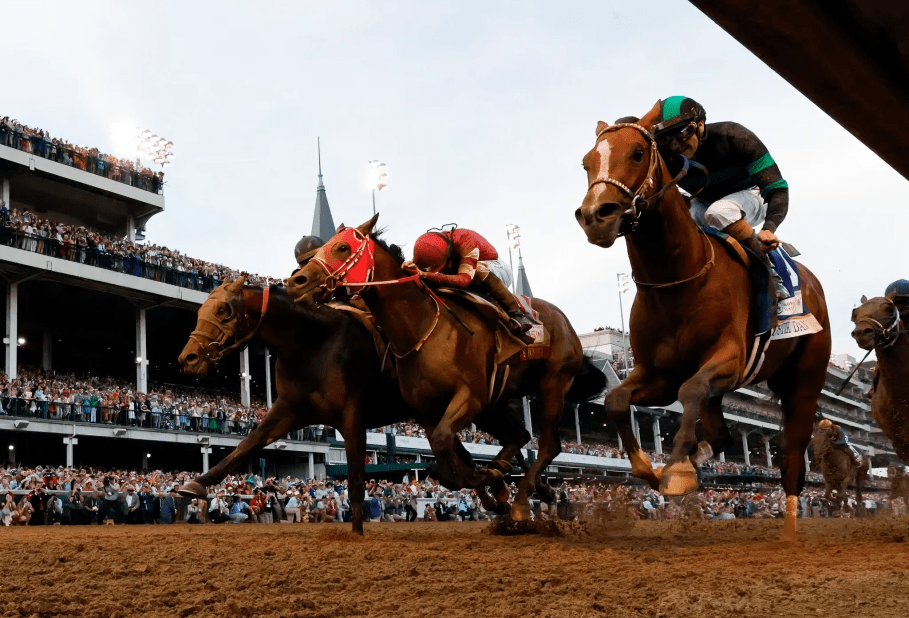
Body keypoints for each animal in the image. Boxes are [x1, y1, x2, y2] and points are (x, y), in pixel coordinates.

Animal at [288, 217, 608, 520]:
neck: (422, 327)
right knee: (520, 436)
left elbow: (449, 450)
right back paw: (517, 481)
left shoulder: (470, 396)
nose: (297, 281)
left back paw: (521, 498)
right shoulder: (427, 410)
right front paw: (493, 483)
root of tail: (563, 321)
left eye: (342, 247)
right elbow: (449, 462)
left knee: (548, 444)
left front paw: (495, 485)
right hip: (496, 401)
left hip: (552, 382)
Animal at [576, 98, 828, 536]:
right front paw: (654, 469)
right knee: (722, 434)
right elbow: (616, 399)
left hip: (806, 376)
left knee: (793, 451)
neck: (677, 280)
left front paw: (677, 469)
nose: (595, 216)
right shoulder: (658, 374)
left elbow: (690, 390)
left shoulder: (729, 358)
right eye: (587, 162)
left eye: (637, 153)